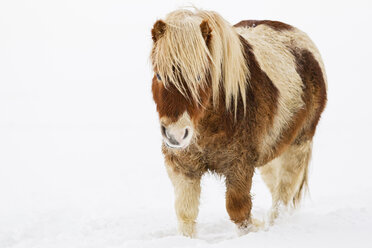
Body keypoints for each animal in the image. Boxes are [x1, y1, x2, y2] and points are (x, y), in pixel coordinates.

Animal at [150, 9, 326, 236]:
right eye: (158, 75)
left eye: (199, 77)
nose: (176, 135)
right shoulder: (183, 166)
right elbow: (185, 214)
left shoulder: (239, 166)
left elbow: (238, 210)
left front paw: (252, 231)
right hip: (271, 154)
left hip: (298, 146)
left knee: (283, 195)